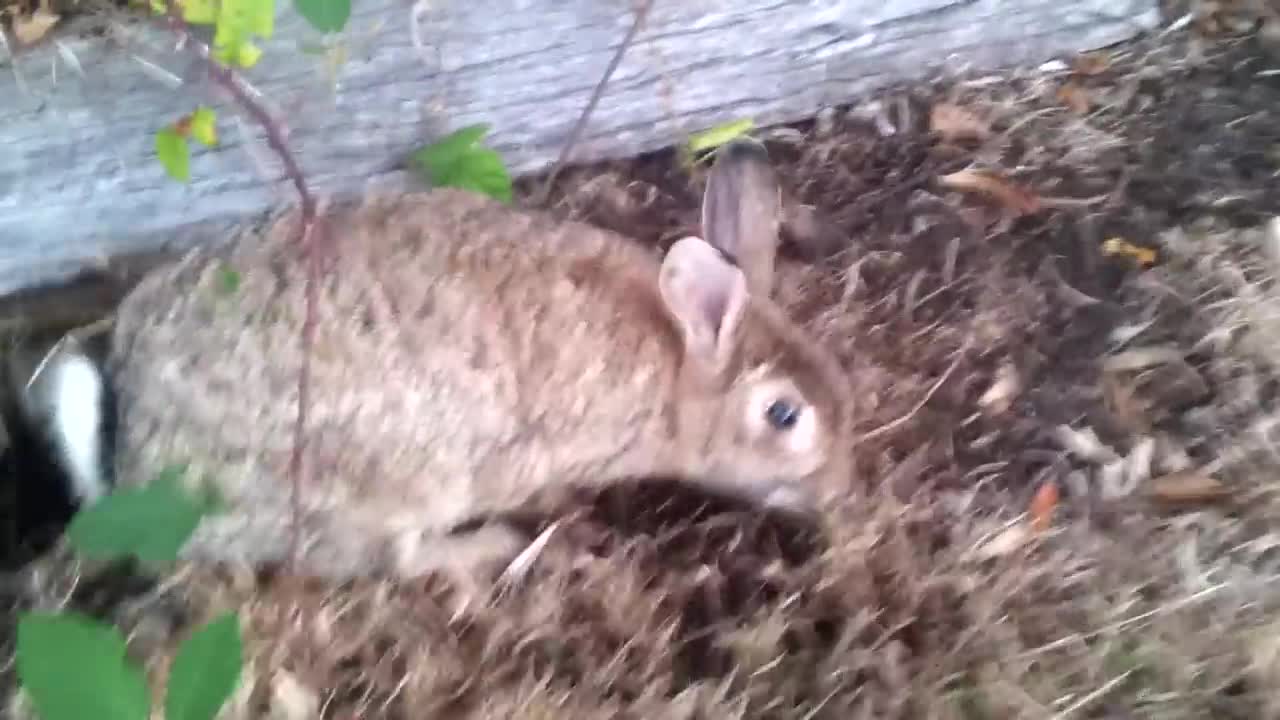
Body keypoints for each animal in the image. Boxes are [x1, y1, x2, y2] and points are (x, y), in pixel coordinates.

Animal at [104, 139, 855, 584]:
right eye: (784, 415)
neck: (674, 365)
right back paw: (486, 548)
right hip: (394, 481)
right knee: (391, 559)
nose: (837, 492)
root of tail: (137, 451)